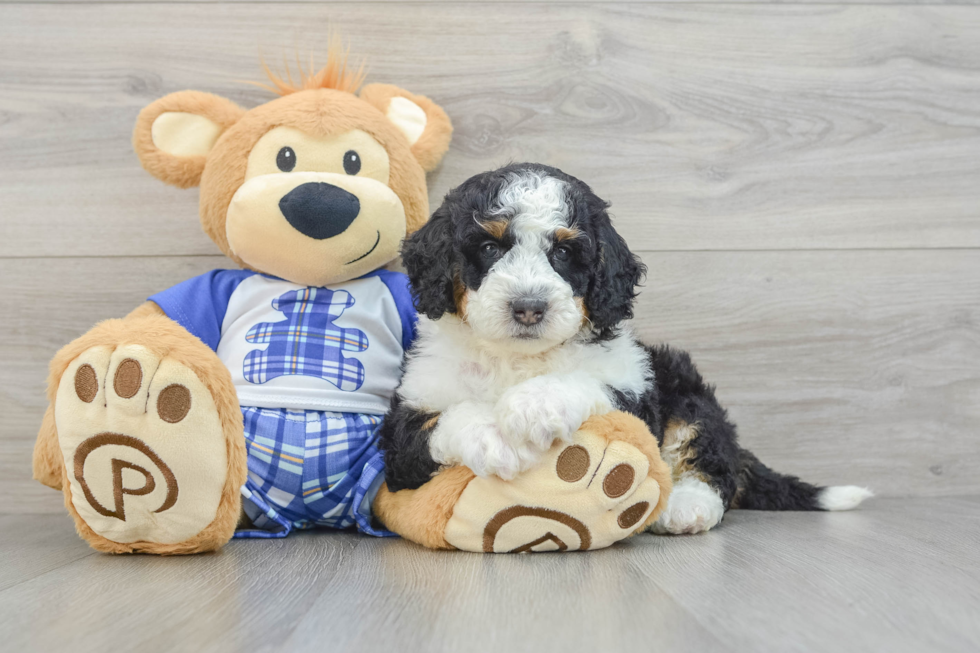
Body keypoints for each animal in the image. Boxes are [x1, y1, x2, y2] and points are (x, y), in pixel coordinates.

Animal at [382, 160, 872, 532]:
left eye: (564, 254)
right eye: (488, 247)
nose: (528, 308)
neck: (518, 358)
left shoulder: (632, 386)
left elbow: (586, 383)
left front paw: (534, 404)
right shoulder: (404, 428)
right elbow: (441, 420)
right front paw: (493, 435)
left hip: (685, 388)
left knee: (713, 462)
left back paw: (686, 506)